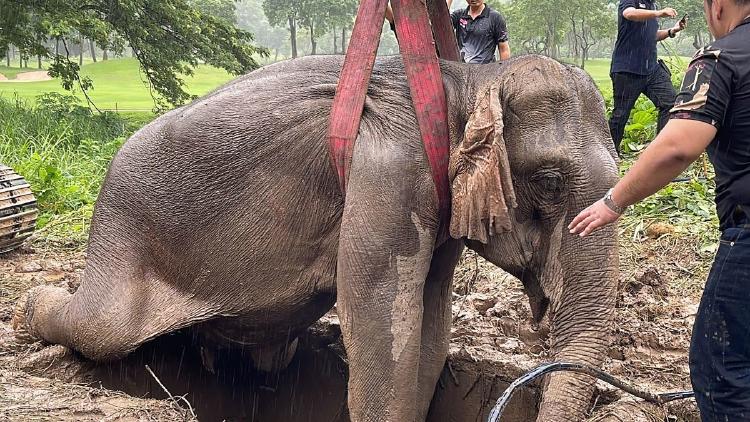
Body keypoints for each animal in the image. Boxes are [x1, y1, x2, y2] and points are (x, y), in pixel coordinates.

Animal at [14, 54, 620, 420]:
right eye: (548, 181)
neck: (465, 78)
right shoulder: (391, 174)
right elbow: (379, 320)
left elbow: (429, 320)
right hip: (122, 238)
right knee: (102, 329)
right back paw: (29, 309)